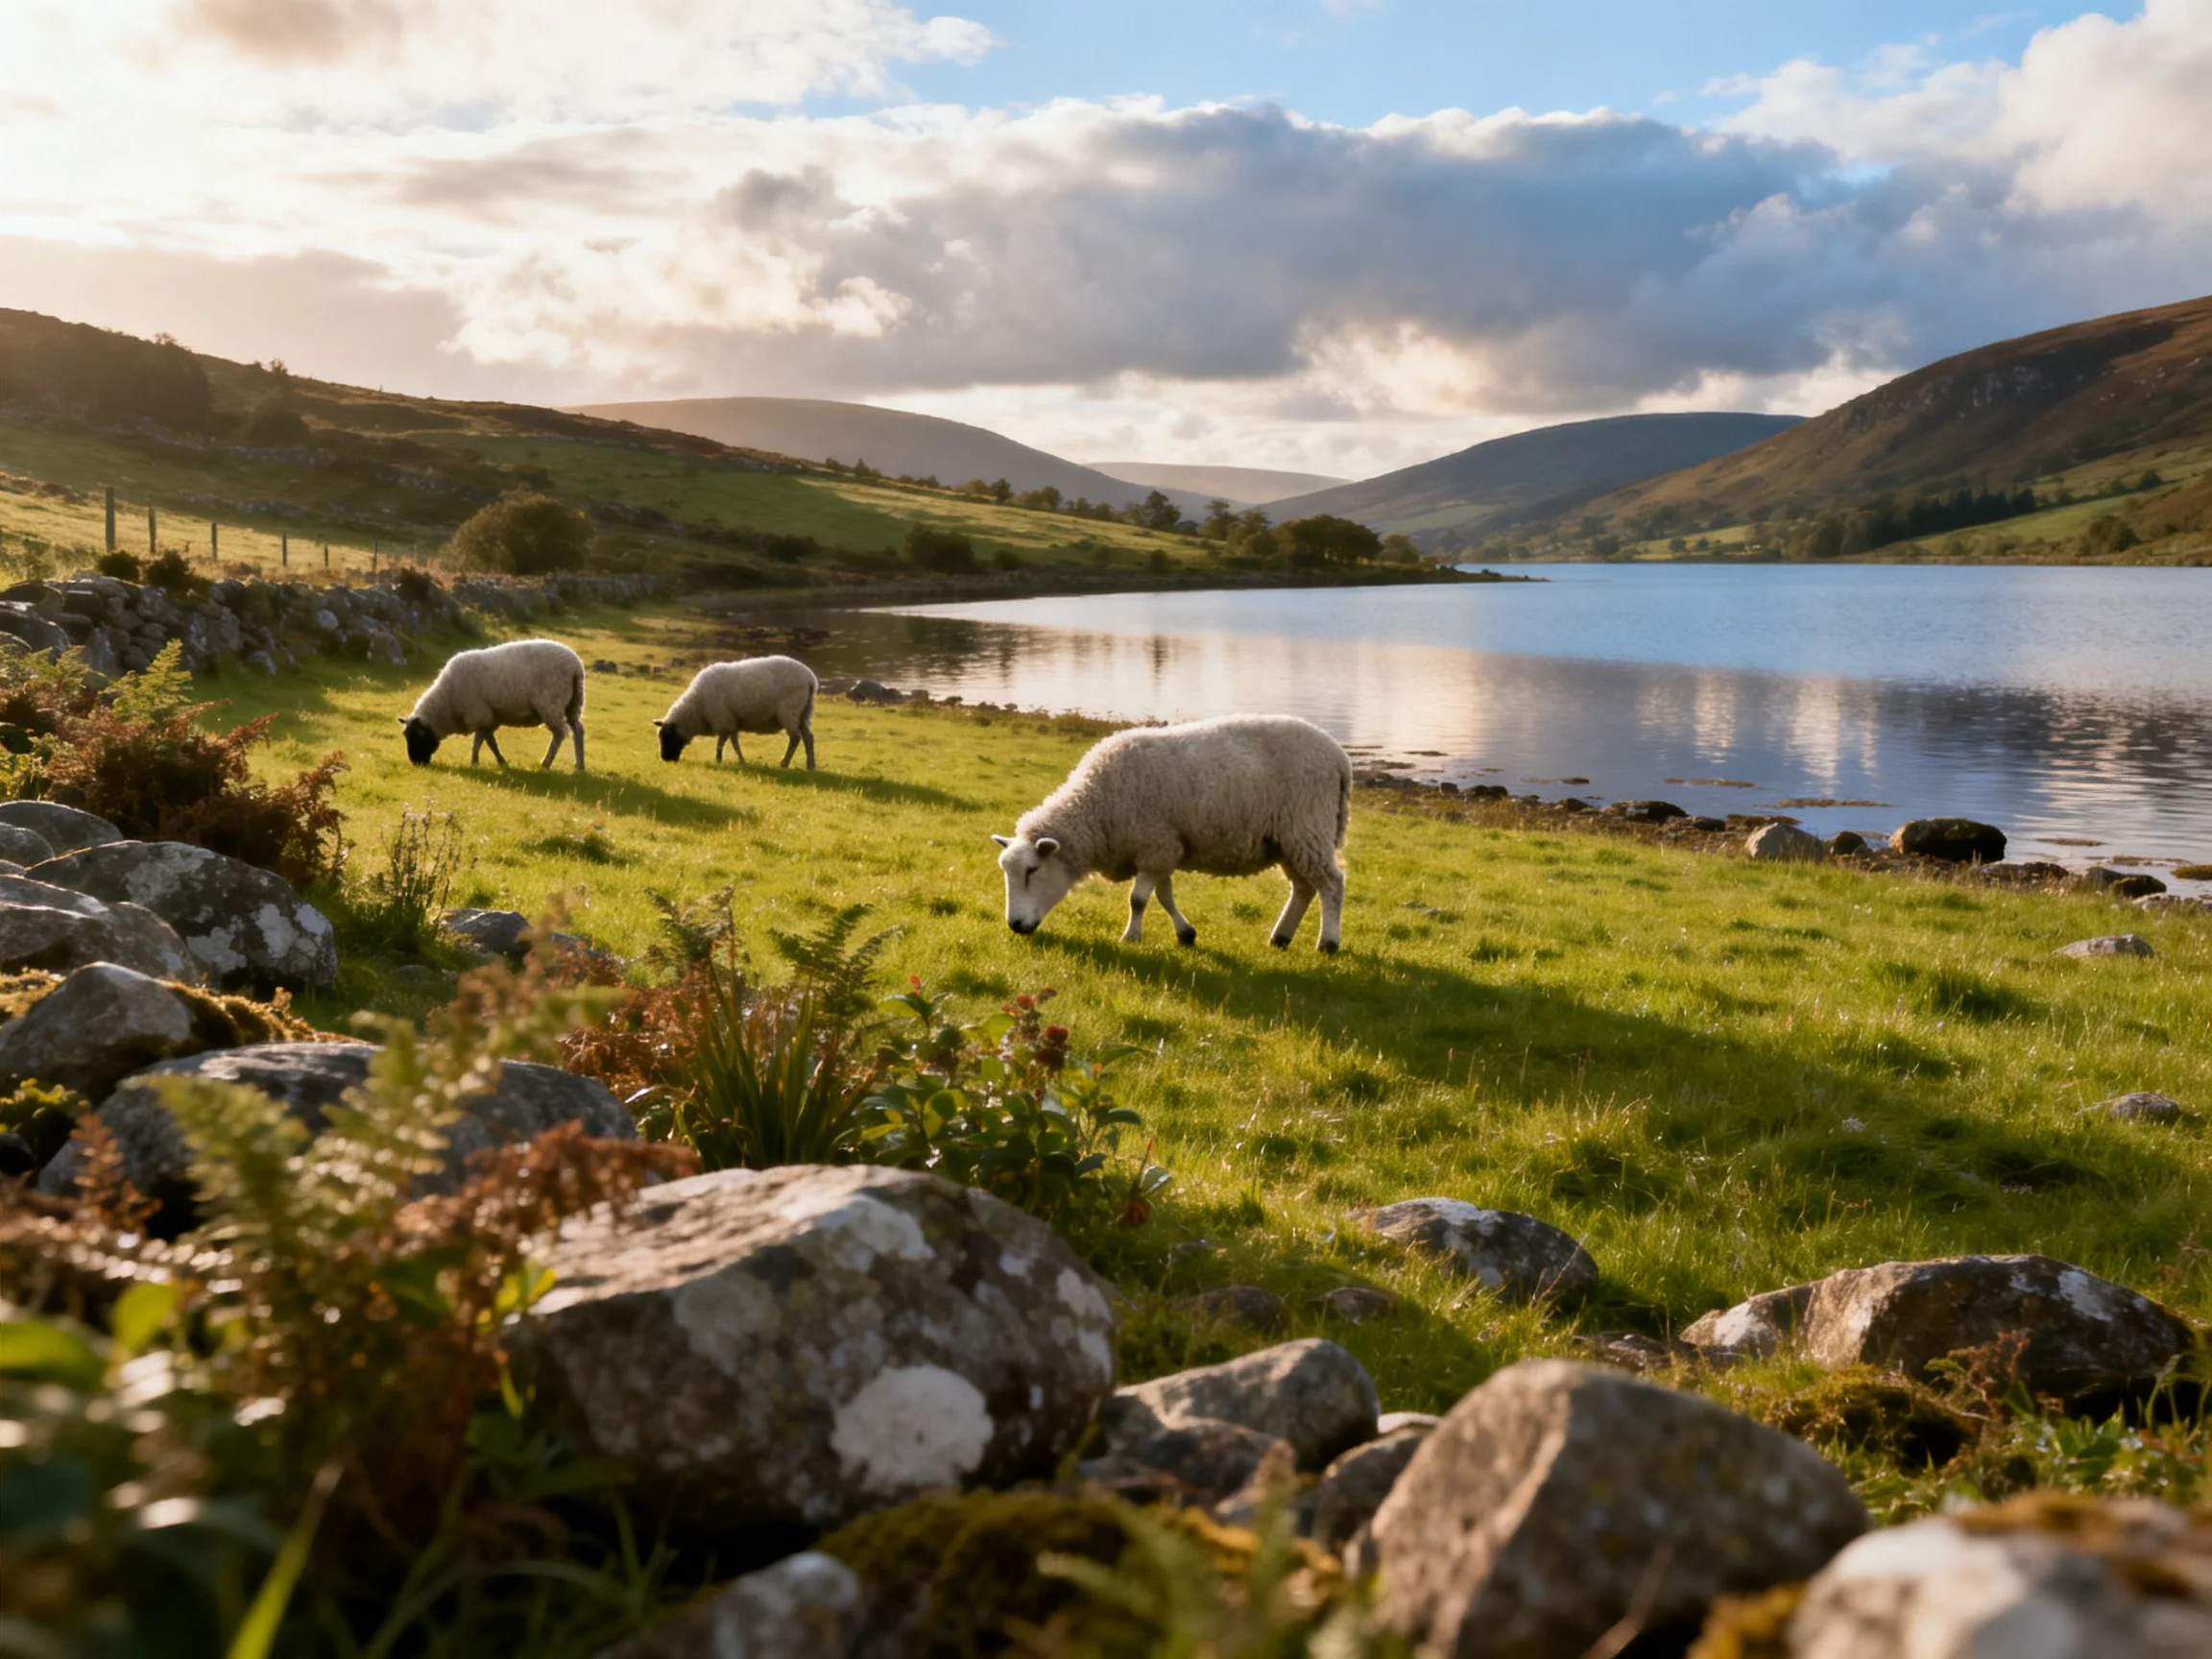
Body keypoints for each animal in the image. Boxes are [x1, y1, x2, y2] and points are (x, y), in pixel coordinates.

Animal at [399, 639, 586, 771]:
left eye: (418, 737)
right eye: (406, 736)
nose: (416, 763)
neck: (447, 700)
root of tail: (576, 666)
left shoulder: (479, 714)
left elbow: (480, 742)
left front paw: (474, 762)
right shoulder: (489, 717)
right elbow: (490, 742)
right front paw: (501, 762)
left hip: (551, 703)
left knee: (559, 734)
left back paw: (546, 763)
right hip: (573, 703)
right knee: (578, 730)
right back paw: (579, 765)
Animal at [655, 656, 818, 768]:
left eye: (668, 737)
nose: (665, 759)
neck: (697, 707)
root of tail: (810, 679)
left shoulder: (724, 720)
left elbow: (723, 743)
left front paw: (720, 760)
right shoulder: (731, 722)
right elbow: (733, 742)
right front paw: (738, 760)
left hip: (790, 711)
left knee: (795, 738)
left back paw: (785, 763)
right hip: (805, 712)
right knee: (808, 737)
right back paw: (810, 765)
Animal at [992, 714, 1351, 952]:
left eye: (1032, 871)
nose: (1015, 926)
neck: (1097, 808)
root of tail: (1339, 756)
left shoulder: (1154, 845)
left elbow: (1138, 900)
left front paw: (1131, 937)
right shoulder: (1161, 848)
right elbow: (1164, 897)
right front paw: (1186, 934)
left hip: (1307, 825)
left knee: (1331, 884)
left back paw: (1328, 942)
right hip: (1290, 839)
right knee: (1304, 887)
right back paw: (1281, 937)